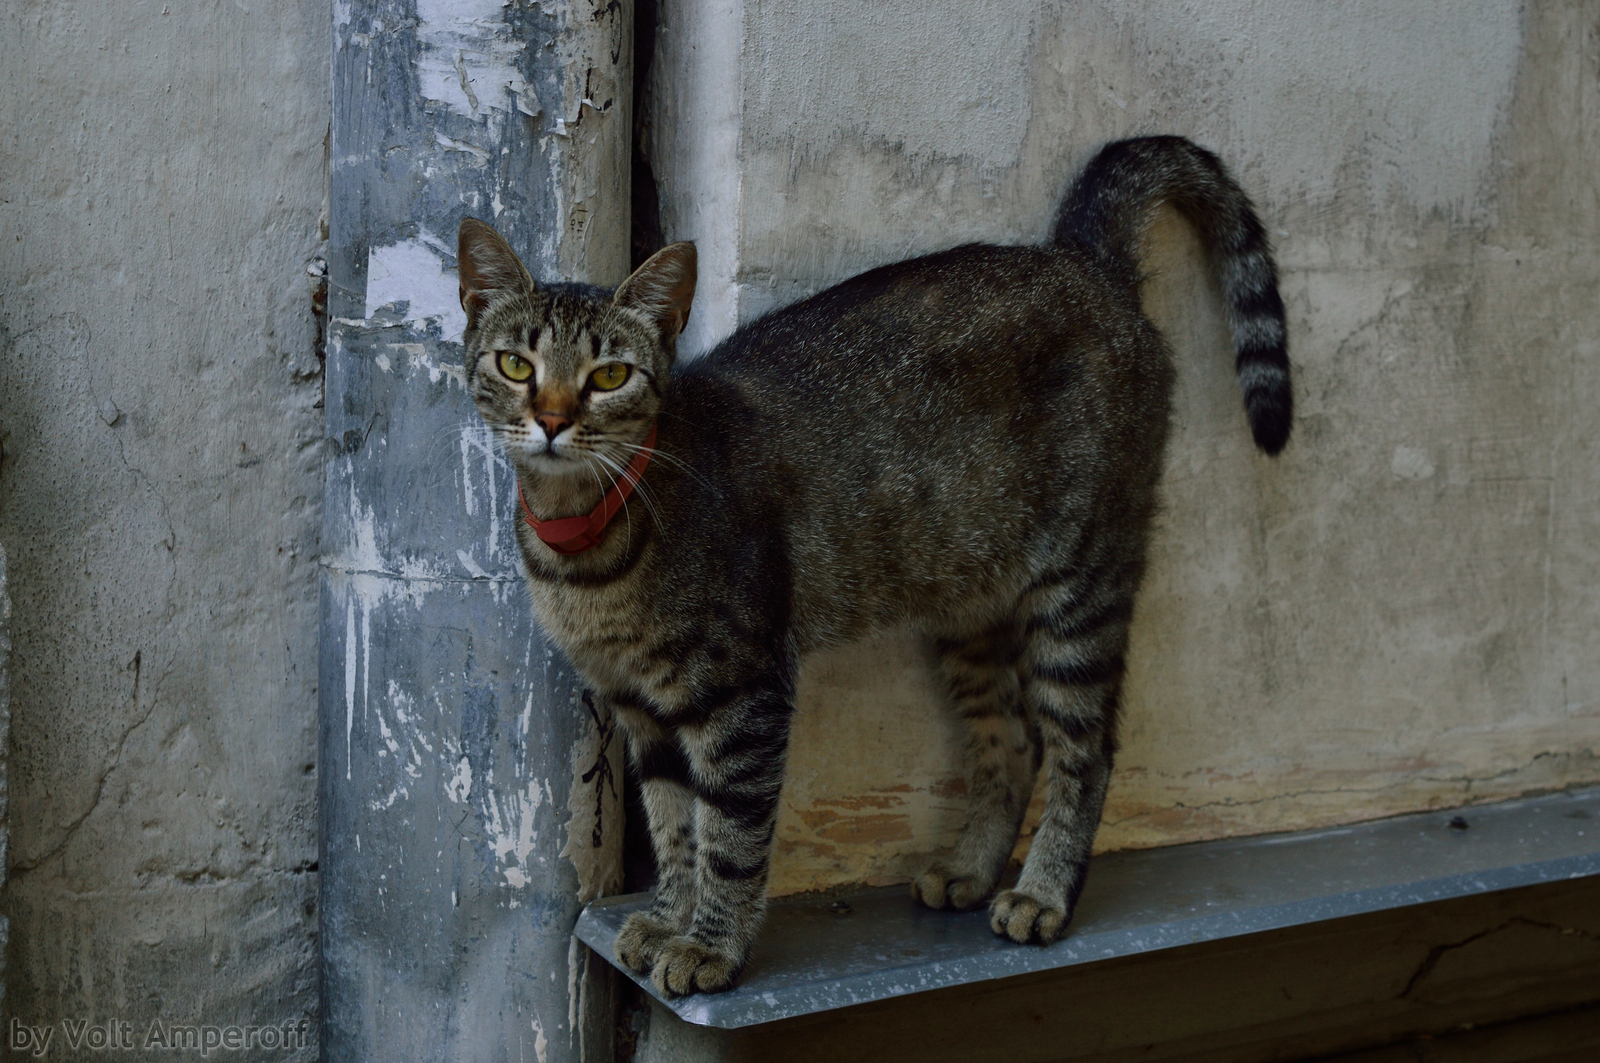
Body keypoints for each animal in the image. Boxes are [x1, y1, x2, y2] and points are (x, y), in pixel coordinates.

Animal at [457, 135, 1292, 998]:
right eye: (516, 365)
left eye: (610, 376)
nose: (552, 419)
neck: (585, 546)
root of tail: (1081, 257)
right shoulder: (640, 711)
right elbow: (672, 824)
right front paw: (669, 916)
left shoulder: (745, 693)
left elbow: (728, 835)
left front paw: (712, 942)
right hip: (969, 607)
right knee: (1013, 738)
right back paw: (972, 868)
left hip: (1082, 585)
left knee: (1084, 749)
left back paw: (1043, 890)